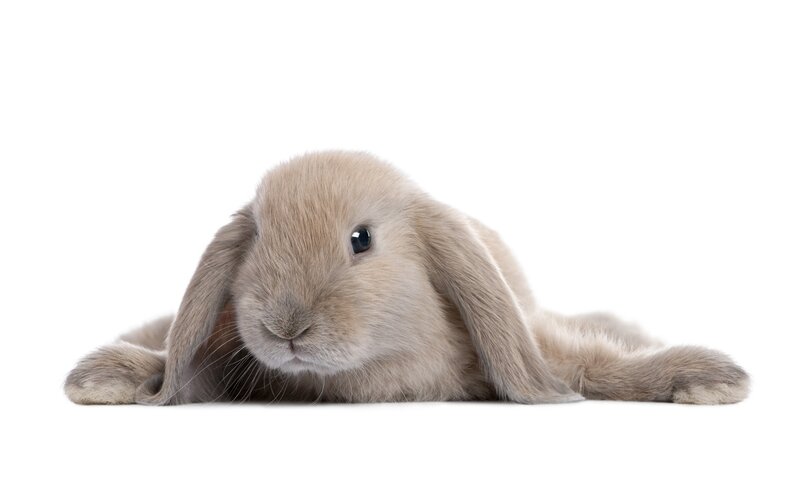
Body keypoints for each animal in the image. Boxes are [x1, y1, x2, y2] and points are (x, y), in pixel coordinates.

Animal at [64, 151, 750, 405]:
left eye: (361, 239)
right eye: (257, 234)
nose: (285, 327)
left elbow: (597, 366)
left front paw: (709, 377)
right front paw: (106, 376)